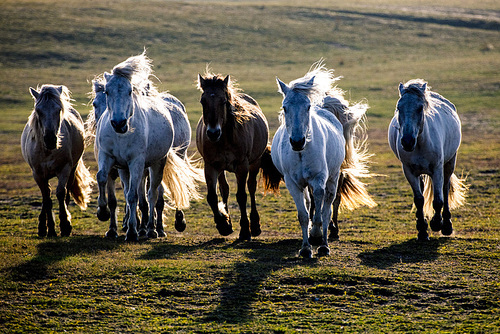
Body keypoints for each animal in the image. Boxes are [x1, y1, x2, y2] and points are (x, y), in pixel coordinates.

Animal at [21, 86, 94, 237]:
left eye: (59, 109)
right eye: (38, 110)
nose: (50, 139)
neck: (47, 151)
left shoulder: (64, 169)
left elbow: (61, 193)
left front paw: (65, 225)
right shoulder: (37, 174)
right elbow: (46, 198)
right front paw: (50, 229)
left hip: (72, 169)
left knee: (66, 193)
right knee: (46, 196)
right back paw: (42, 226)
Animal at [94, 52, 202, 240]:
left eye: (130, 91)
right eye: (107, 92)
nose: (119, 123)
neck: (121, 135)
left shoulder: (136, 162)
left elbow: (133, 196)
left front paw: (132, 231)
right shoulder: (108, 158)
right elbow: (102, 178)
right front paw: (103, 212)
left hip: (158, 163)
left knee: (153, 195)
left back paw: (153, 228)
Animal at [274, 65, 376, 258]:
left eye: (307, 107)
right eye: (284, 107)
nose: (297, 141)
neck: (301, 152)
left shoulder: (319, 179)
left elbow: (321, 210)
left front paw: (317, 236)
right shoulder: (292, 183)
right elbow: (303, 214)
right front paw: (305, 248)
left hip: (333, 177)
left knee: (328, 206)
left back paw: (323, 243)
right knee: (311, 204)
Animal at [388, 78, 466, 240]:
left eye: (419, 108)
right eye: (399, 107)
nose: (407, 141)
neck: (420, 144)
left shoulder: (437, 169)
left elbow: (438, 200)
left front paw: (437, 223)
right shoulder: (409, 171)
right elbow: (419, 199)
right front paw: (422, 231)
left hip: (449, 163)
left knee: (445, 189)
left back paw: (447, 225)